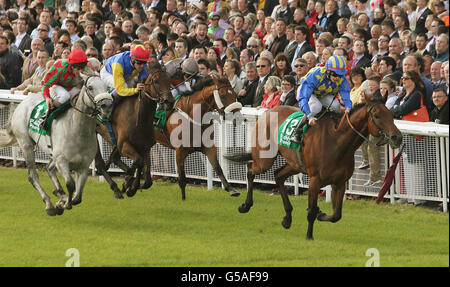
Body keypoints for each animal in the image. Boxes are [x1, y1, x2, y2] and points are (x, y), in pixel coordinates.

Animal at [94, 60, 173, 200]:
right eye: (156, 81)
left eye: (169, 79)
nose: (169, 102)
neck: (139, 115)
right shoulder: (125, 145)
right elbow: (138, 163)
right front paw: (129, 186)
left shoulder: (145, 147)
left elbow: (147, 179)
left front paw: (129, 184)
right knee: (101, 164)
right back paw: (116, 189)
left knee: (114, 158)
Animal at [225, 96, 404, 241]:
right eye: (377, 116)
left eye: (391, 115)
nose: (397, 137)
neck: (336, 142)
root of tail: (268, 111)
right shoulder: (315, 181)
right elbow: (311, 212)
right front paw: (309, 235)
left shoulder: (339, 182)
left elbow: (336, 215)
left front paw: (321, 213)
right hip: (265, 159)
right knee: (250, 169)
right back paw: (245, 205)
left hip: (294, 164)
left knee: (278, 175)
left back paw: (287, 218)